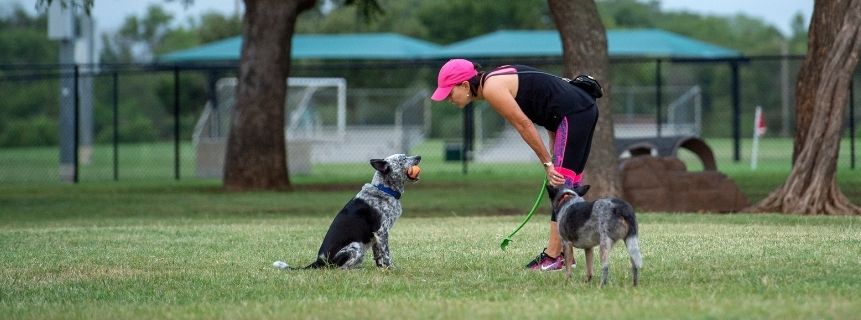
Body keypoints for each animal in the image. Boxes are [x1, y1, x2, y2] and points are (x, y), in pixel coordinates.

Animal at [274, 154, 422, 268]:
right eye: (403, 159)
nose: (419, 157)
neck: (384, 189)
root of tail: (319, 261)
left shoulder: (376, 237)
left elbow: (378, 256)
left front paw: (381, 269)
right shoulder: (381, 232)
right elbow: (386, 254)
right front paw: (391, 269)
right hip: (356, 246)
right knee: (341, 268)